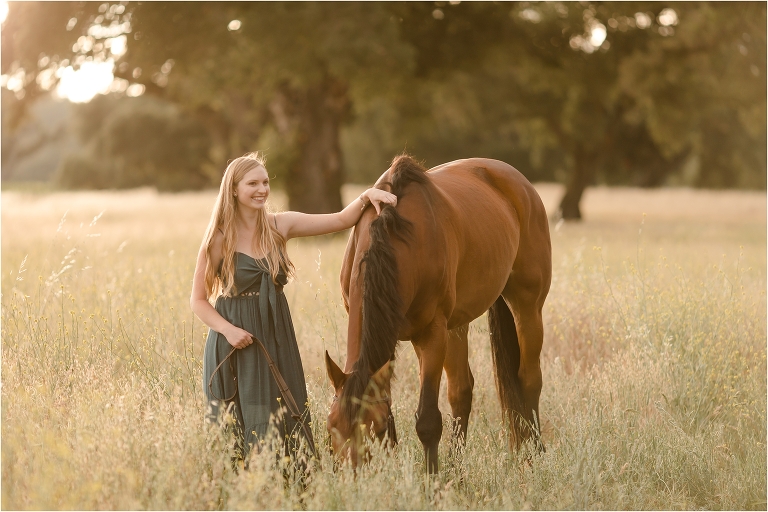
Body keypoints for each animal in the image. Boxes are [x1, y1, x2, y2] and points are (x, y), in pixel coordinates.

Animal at [324, 155, 552, 473]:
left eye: (374, 429)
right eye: (331, 426)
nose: (353, 476)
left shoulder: (431, 334)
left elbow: (428, 420)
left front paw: (432, 479)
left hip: (527, 307)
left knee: (530, 379)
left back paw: (536, 457)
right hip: (458, 324)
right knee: (462, 392)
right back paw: (458, 472)